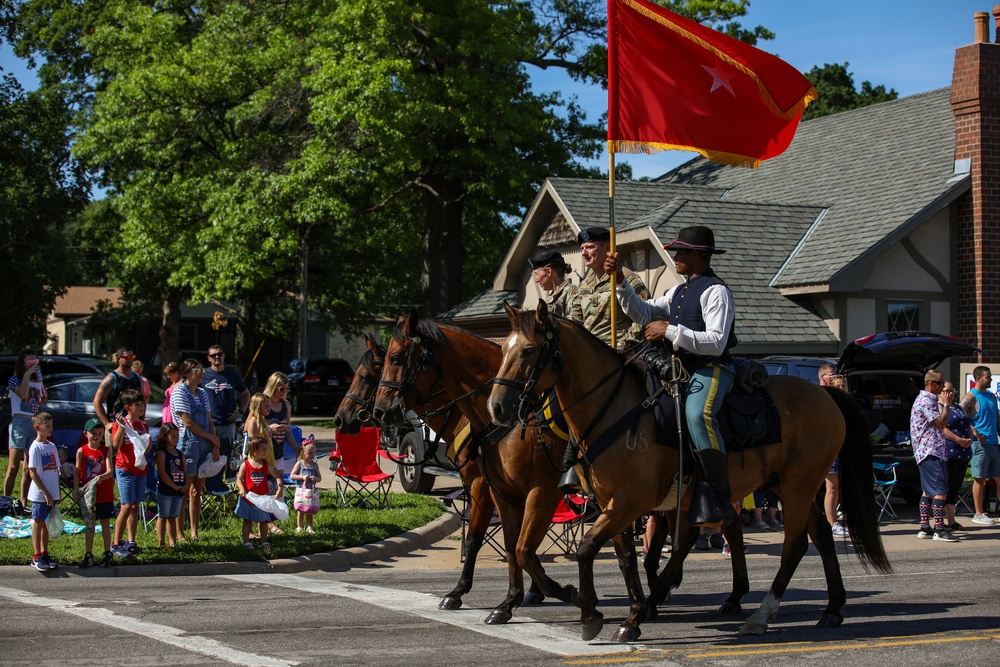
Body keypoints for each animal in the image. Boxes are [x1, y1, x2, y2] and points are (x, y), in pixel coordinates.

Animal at [372, 314, 584, 628]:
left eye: (396, 358)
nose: (379, 412)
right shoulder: (501, 490)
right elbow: (508, 543)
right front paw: (508, 599)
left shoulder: (509, 488)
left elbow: (503, 543)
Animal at [490, 302, 892, 640]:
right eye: (503, 349)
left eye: (528, 351)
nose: (497, 407)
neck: (617, 411)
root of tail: (825, 393)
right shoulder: (611, 503)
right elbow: (625, 558)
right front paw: (633, 616)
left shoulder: (629, 502)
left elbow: (588, 547)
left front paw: (590, 613)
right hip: (787, 486)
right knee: (819, 535)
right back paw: (832, 608)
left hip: (797, 485)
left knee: (794, 545)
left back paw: (761, 614)